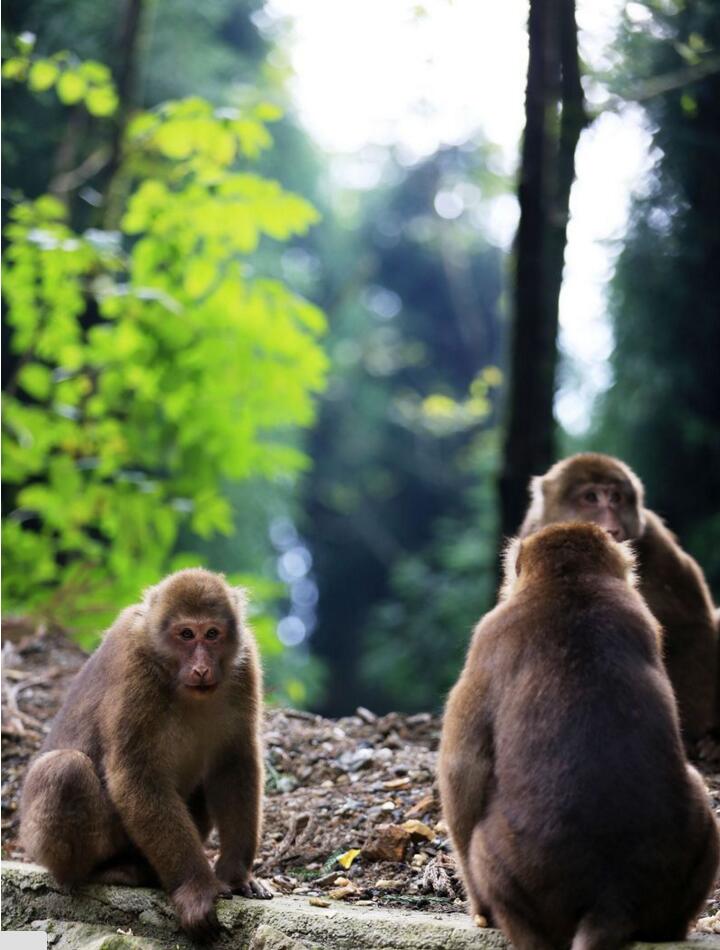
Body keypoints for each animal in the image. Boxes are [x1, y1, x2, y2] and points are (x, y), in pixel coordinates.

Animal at [20, 568, 272, 940]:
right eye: (186, 634)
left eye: (212, 634)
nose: (201, 668)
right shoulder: (134, 669)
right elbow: (135, 775)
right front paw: (195, 888)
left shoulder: (244, 666)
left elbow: (234, 765)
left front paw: (236, 875)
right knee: (65, 770)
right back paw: (102, 872)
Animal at [438, 524, 720, 948]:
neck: (570, 584)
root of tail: (611, 900)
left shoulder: (487, 636)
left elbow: (463, 766)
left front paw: (479, 910)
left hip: (524, 875)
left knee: (483, 847)